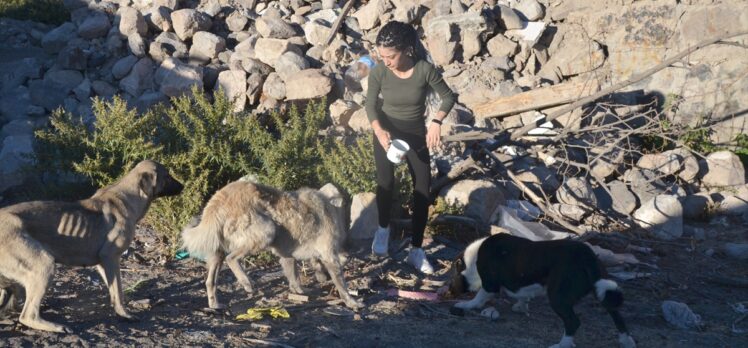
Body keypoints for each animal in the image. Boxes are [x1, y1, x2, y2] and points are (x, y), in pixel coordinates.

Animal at [0, 160, 184, 332]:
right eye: (167, 176)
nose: (183, 186)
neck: (129, 196)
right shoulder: (111, 258)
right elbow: (119, 291)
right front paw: (125, 314)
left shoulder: (102, 263)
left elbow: (113, 291)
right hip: (43, 265)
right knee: (28, 315)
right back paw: (56, 326)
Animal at [184, 179, 366, 310]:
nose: (323, 280)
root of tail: (219, 199)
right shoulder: (330, 255)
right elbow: (341, 284)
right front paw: (352, 302)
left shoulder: (287, 255)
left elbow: (293, 275)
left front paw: (298, 291)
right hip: (267, 230)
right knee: (232, 258)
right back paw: (246, 282)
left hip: (218, 250)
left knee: (210, 280)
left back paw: (214, 304)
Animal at [448, 234, 636, 348]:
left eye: (452, 276)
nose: (449, 291)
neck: (473, 260)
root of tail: (587, 256)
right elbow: (523, 295)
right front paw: (521, 307)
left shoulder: (490, 284)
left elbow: (479, 298)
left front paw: (466, 305)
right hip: (603, 289)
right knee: (616, 314)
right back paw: (626, 341)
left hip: (558, 297)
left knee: (573, 322)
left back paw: (562, 345)